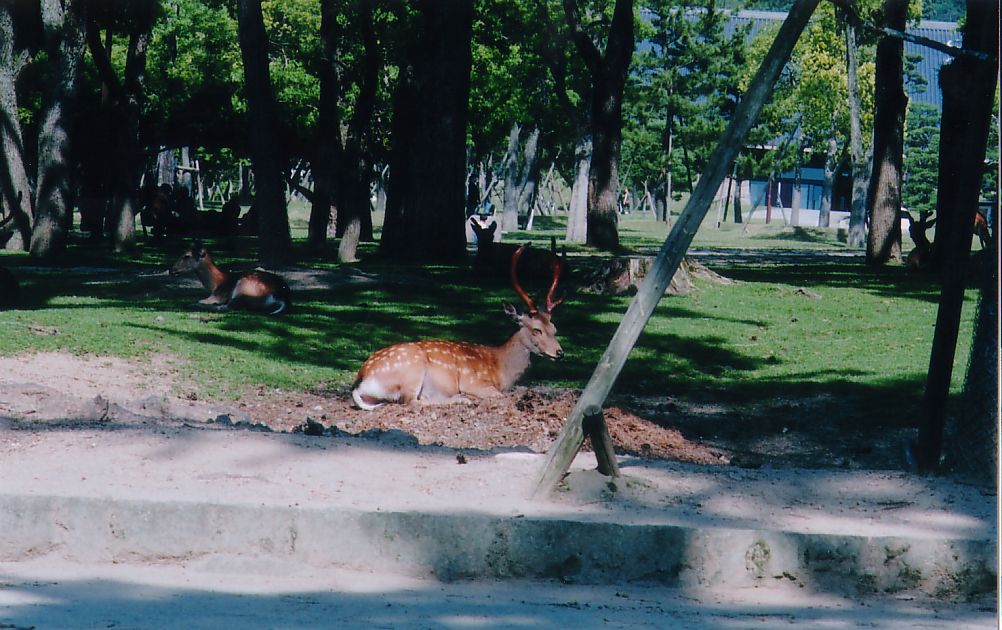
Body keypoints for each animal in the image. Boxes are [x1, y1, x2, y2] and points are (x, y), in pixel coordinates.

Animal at [354, 243, 569, 410]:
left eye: (555, 328)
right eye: (536, 329)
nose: (559, 352)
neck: (501, 369)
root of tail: (360, 381)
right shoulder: (473, 381)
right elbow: (498, 396)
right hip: (412, 370)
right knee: (411, 401)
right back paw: (462, 399)